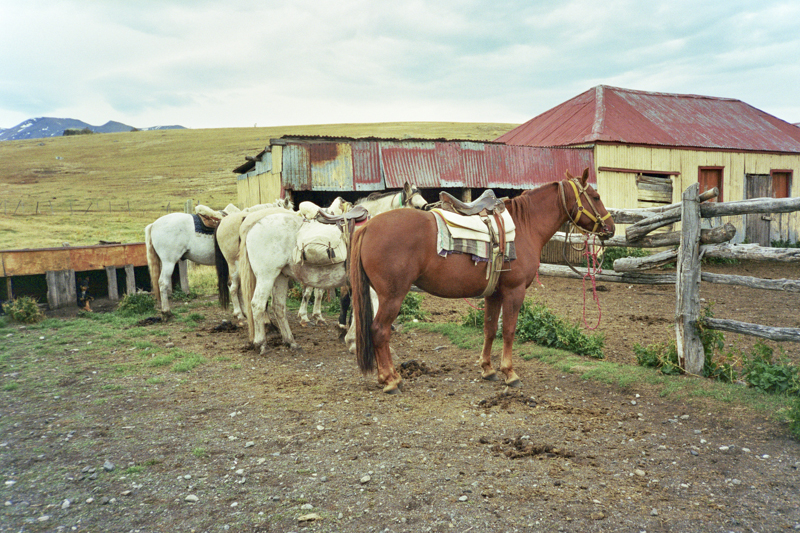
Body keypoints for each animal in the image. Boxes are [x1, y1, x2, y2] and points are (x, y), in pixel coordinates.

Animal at [346, 168, 616, 392]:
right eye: (596, 196)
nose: (611, 228)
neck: (525, 225)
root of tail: (368, 227)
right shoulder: (515, 291)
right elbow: (508, 330)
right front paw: (509, 373)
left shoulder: (494, 293)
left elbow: (489, 329)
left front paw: (488, 369)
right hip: (392, 296)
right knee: (379, 331)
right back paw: (391, 380)